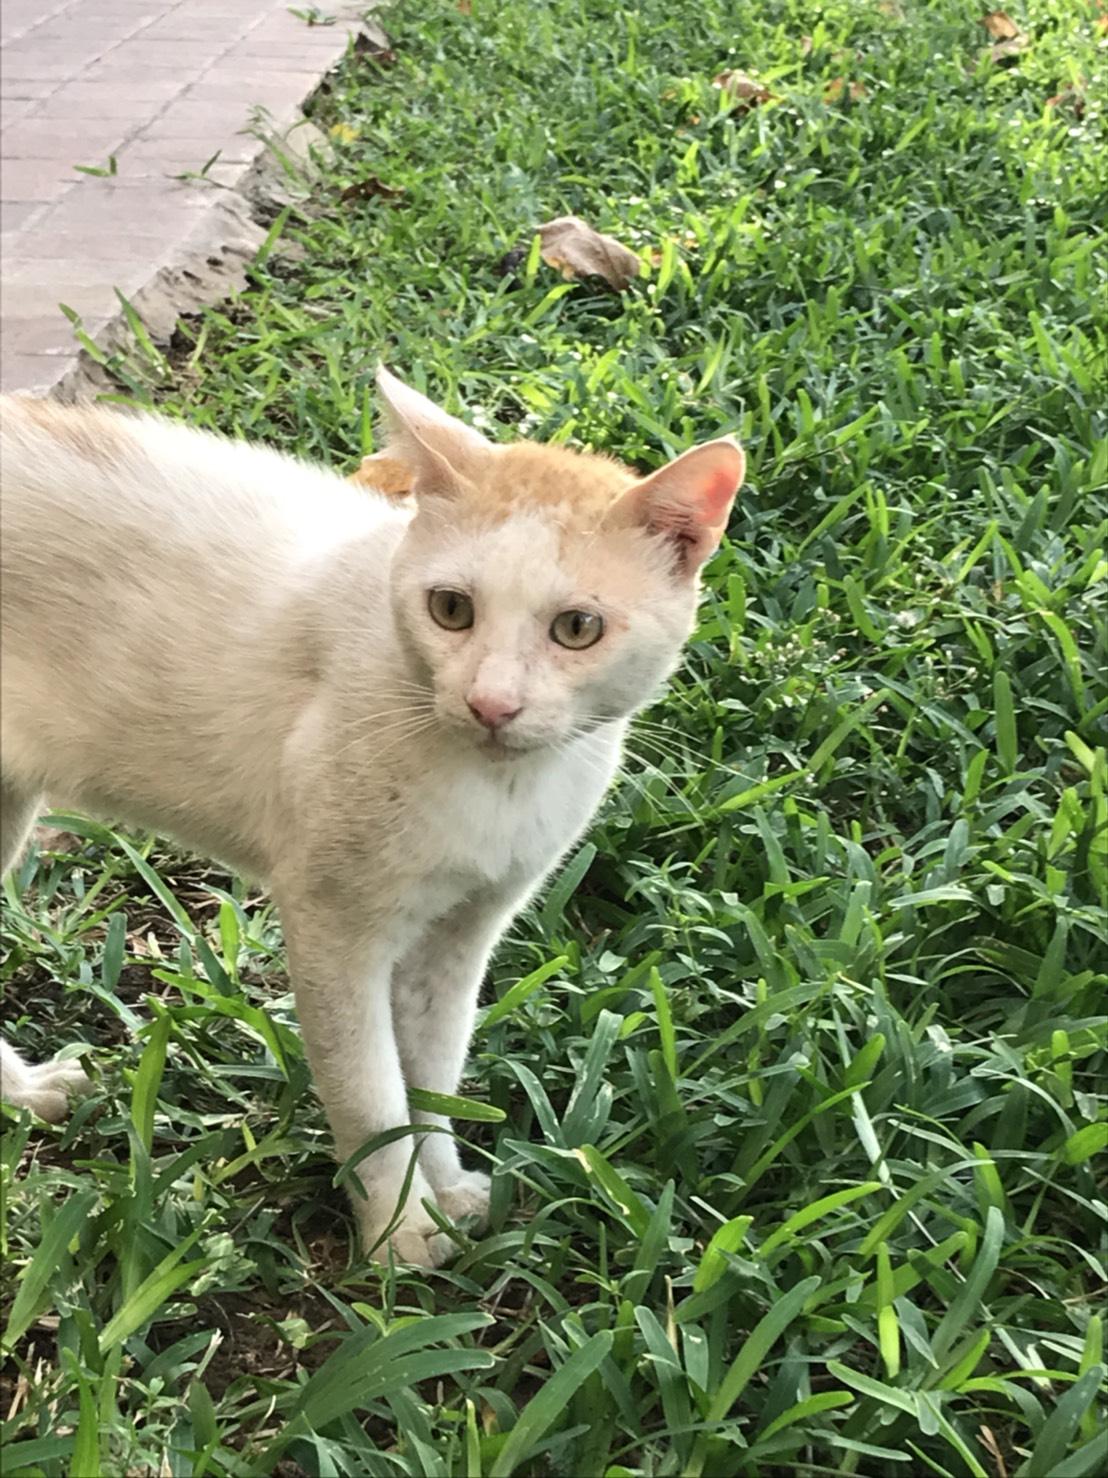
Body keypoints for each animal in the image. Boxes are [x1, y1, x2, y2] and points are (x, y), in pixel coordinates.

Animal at [0, 369, 744, 1266]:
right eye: (451, 610)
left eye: (577, 628)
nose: (491, 704)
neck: (497, 790)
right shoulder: (331, 928)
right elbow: (371, 1095)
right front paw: (399, 1227)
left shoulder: (459, 939)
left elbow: (433, 1077)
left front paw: (447, 1190)